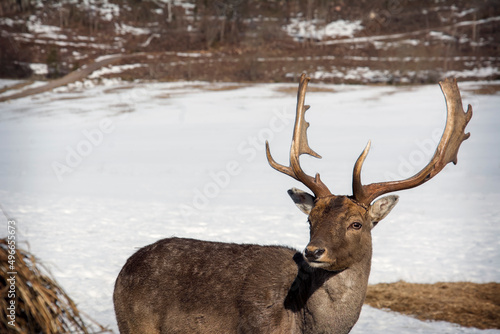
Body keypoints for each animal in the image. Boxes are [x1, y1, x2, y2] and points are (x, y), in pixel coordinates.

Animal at [114, 74, 472, 332]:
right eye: (310, 221)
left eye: (356, 223)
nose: (313, 251)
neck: (307, 326)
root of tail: (123, 270)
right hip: (135, 324)